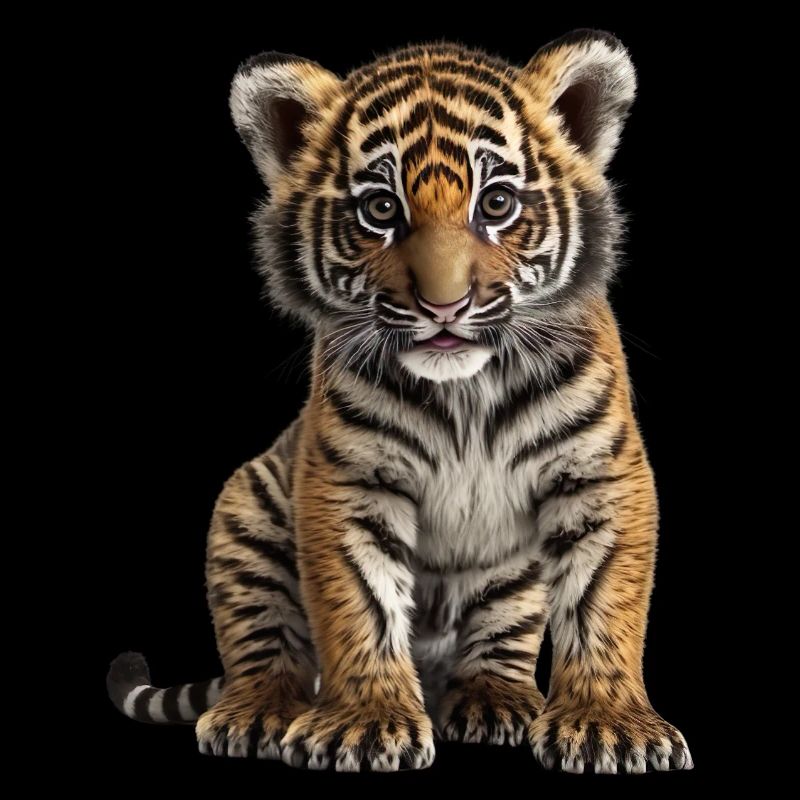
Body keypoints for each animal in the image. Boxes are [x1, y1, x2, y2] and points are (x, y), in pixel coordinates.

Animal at [107, 30, 693, 774]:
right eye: (381, 210)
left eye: (496, 204)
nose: (445, 307)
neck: (467, 389)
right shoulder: (346, 480)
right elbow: (358, 600)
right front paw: (365, 722)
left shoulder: (601, 474)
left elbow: (604, 601)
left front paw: (607, 724)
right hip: (246, 509)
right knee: (264, 643)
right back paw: (260, 712)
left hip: (512, 576)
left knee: (500, 639)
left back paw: (497, 700)